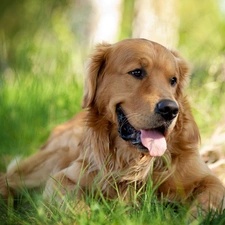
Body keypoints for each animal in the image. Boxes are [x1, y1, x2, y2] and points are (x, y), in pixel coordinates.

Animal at [0, 38, 225, 214]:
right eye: (137, 72)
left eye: (173, 80)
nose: (170, 109)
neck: (134, 161)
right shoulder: (63, 177)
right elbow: (75, 204)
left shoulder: (209, 180)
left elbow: (208, 201)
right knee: (8, 179)